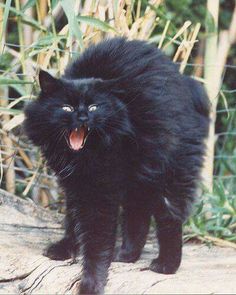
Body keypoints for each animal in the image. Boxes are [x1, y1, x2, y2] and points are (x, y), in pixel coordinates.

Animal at [23, 37, 208, 295]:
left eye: (93, 107)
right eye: (67, 108)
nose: (82, 117)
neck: (81, 157)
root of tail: (187, 84)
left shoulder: (100, 189)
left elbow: (96, 240)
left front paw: (90, 284)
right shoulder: (73, 183)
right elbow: (72, 221)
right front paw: (65, 249)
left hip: (170, 173)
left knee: (169, 220)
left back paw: (166, 265)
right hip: (140, 177)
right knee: (138, 216)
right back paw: (127, 255)